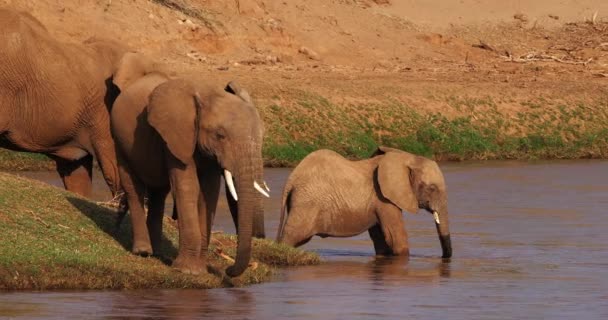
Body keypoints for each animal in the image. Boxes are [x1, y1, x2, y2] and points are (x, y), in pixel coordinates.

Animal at [111, 73, 268, 278]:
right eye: (220, 135)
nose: (227, 269)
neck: (208, 94)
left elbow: (208, 193)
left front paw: (199, 271)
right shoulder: (177, 137)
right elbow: (188, 188)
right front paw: (186, 271)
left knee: (158, 193)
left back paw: (157, 252)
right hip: (119, 140)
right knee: (133, 186)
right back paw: (143, 252)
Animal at [276, 146, 452, 258]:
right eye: (432, 188)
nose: (444, 258)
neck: (407, 158)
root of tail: (292, 178)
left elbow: (380, 238)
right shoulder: (383, 198)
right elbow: (395, 236)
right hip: (307, 204)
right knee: (291, 236)